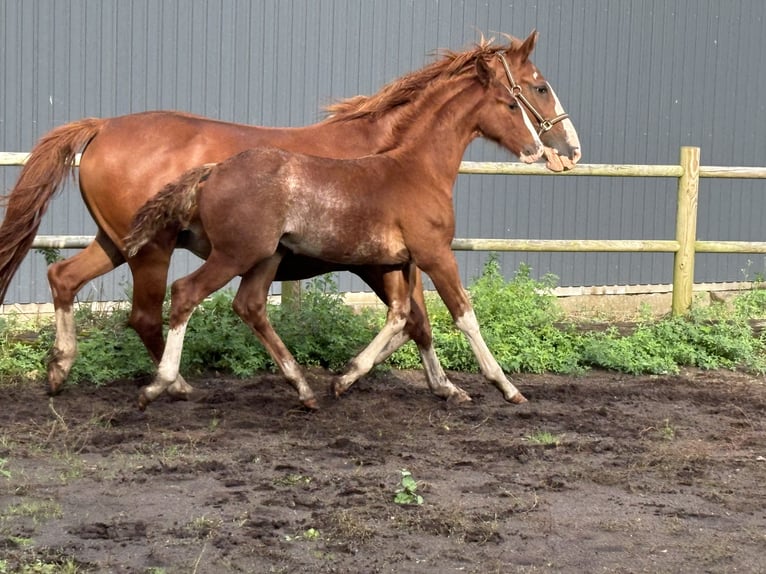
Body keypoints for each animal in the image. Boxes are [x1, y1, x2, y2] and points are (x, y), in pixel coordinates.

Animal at [126, 39, 544, 410]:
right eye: (513, 102)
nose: (537, 149)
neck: (417, 169)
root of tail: (213, 171)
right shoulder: (435, 255)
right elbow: (463, 316)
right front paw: (507, 387)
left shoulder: (395, 262)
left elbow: (403, 316)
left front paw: (346, 377)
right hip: (236, 254)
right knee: (185, 293)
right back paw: (160, 386)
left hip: (266, 258)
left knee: (249, 305)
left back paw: (303, 389)